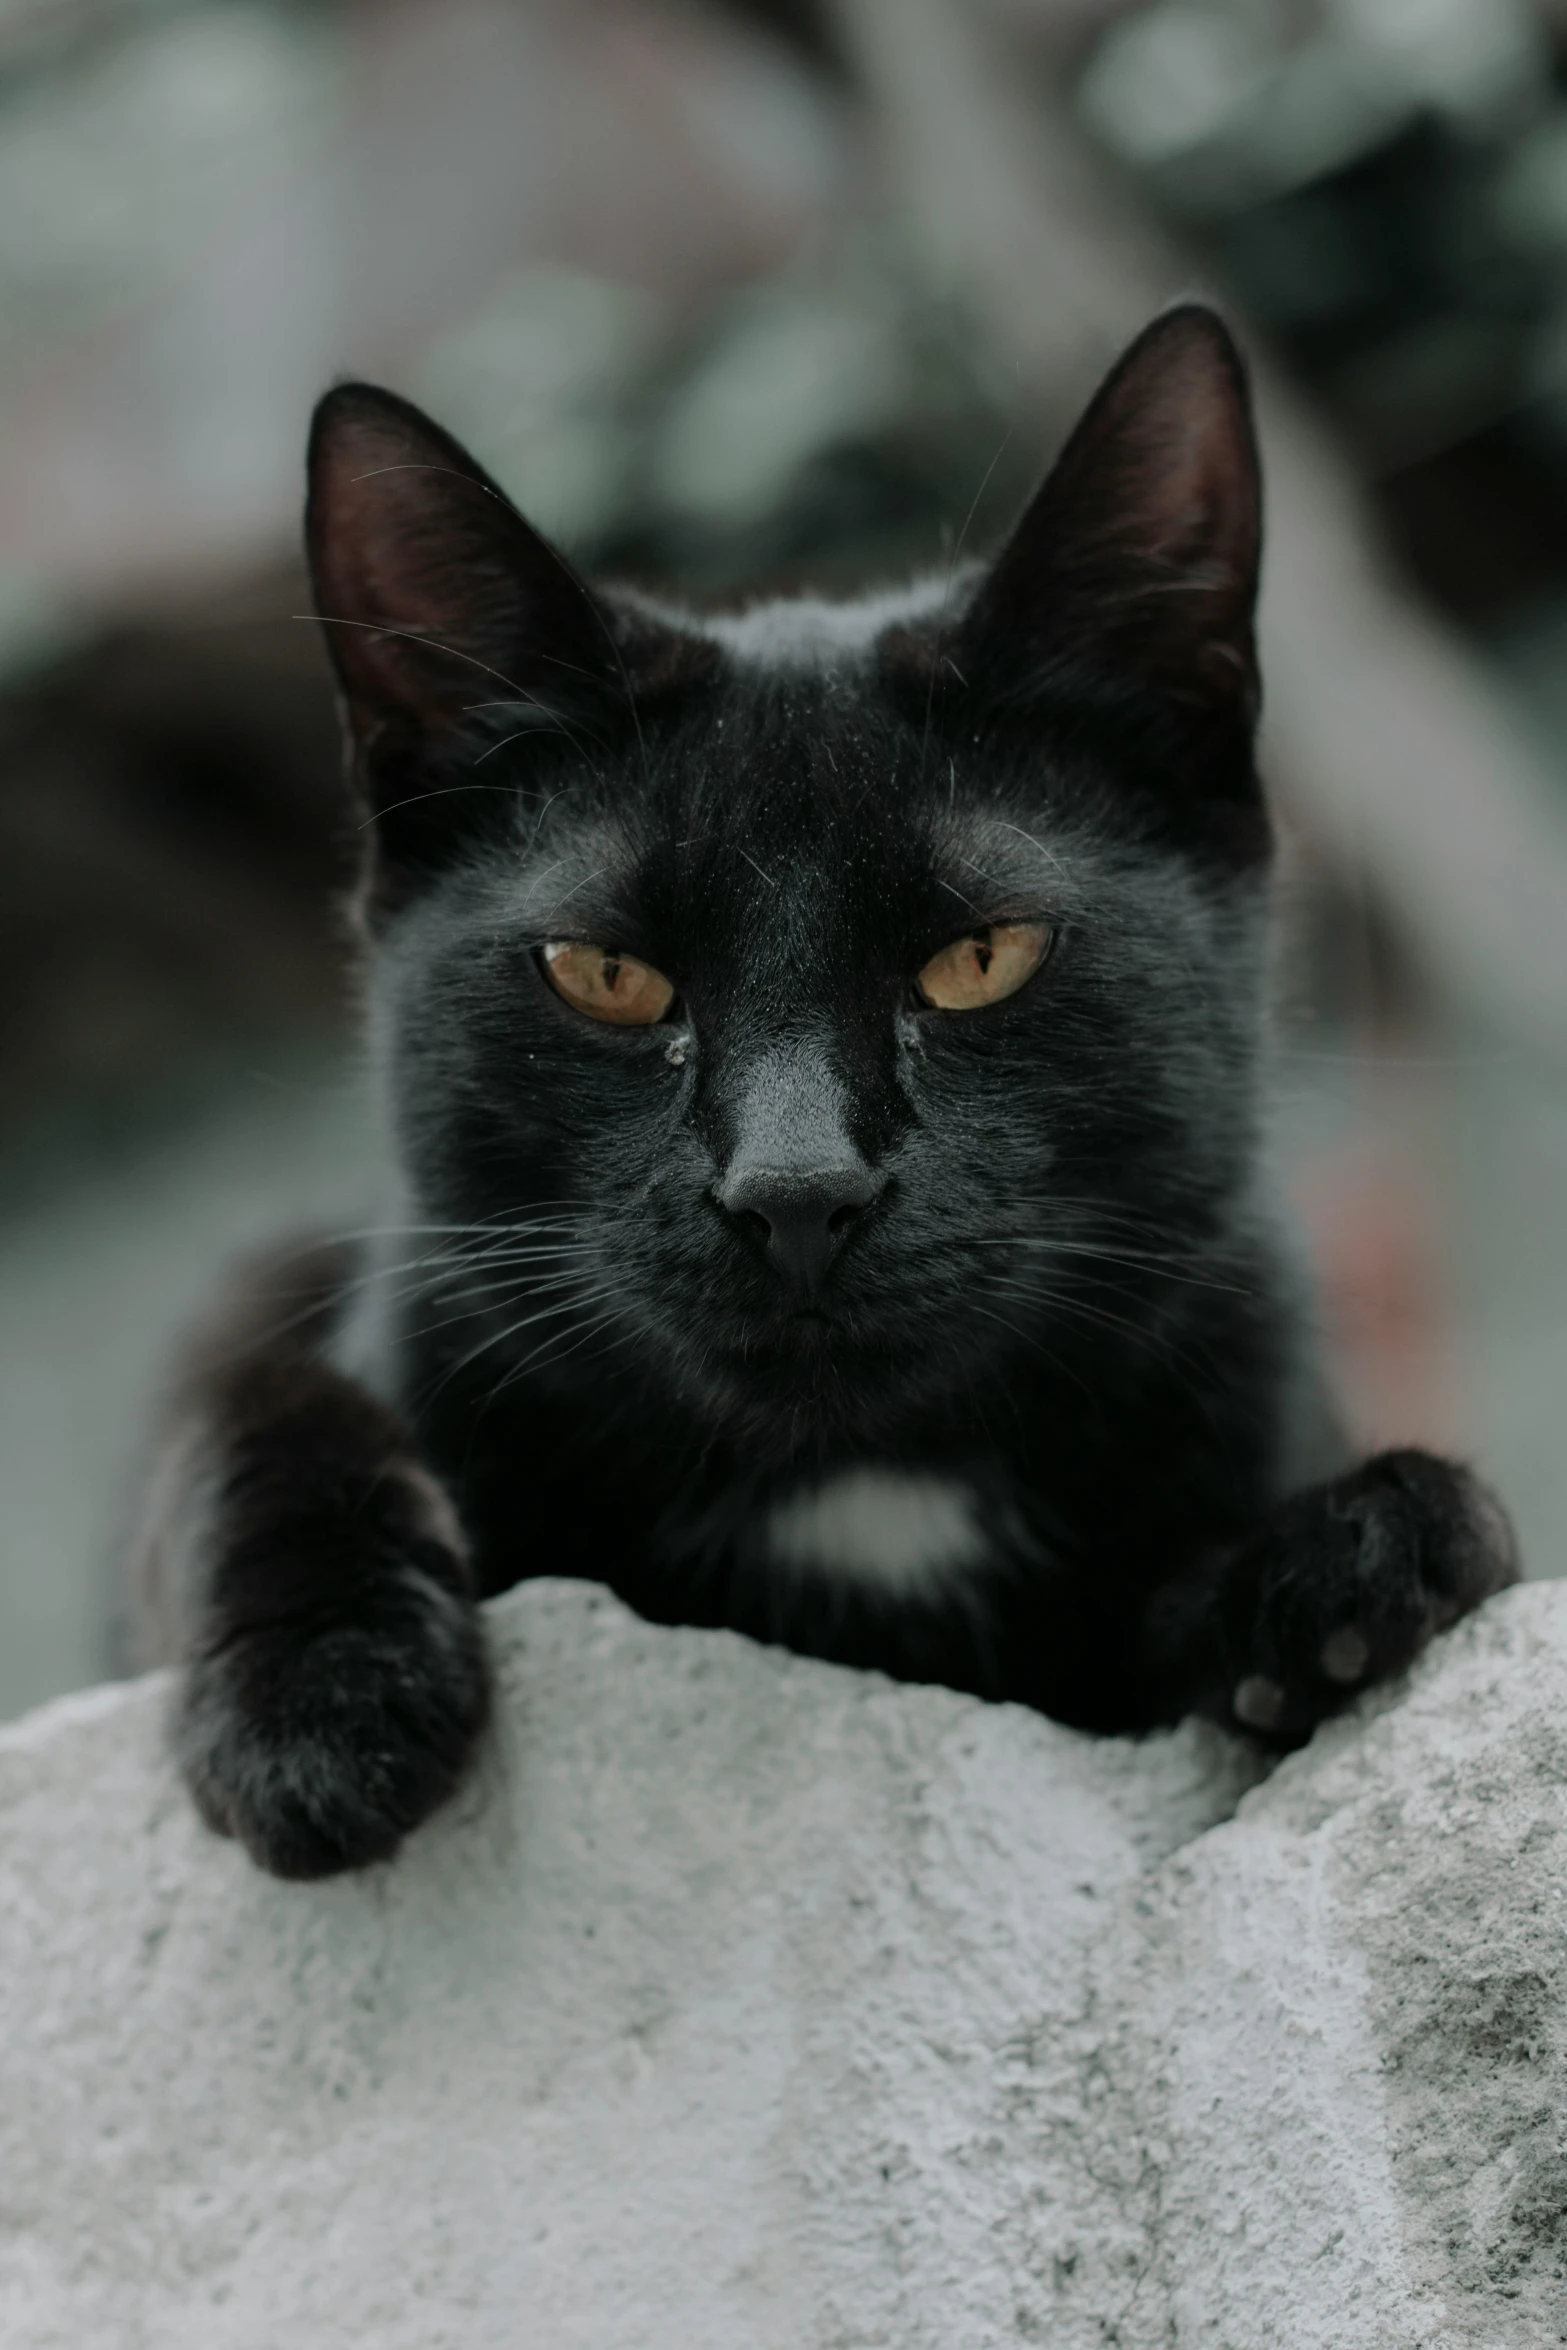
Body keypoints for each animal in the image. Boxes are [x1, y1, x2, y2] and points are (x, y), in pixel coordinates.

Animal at [135, 307, 1522, 1870]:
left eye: (978, 958)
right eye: (605, 975)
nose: (796, 1189)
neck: (858, 1493)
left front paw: (1346, 1555)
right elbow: (253, 1413)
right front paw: (322, 1698)